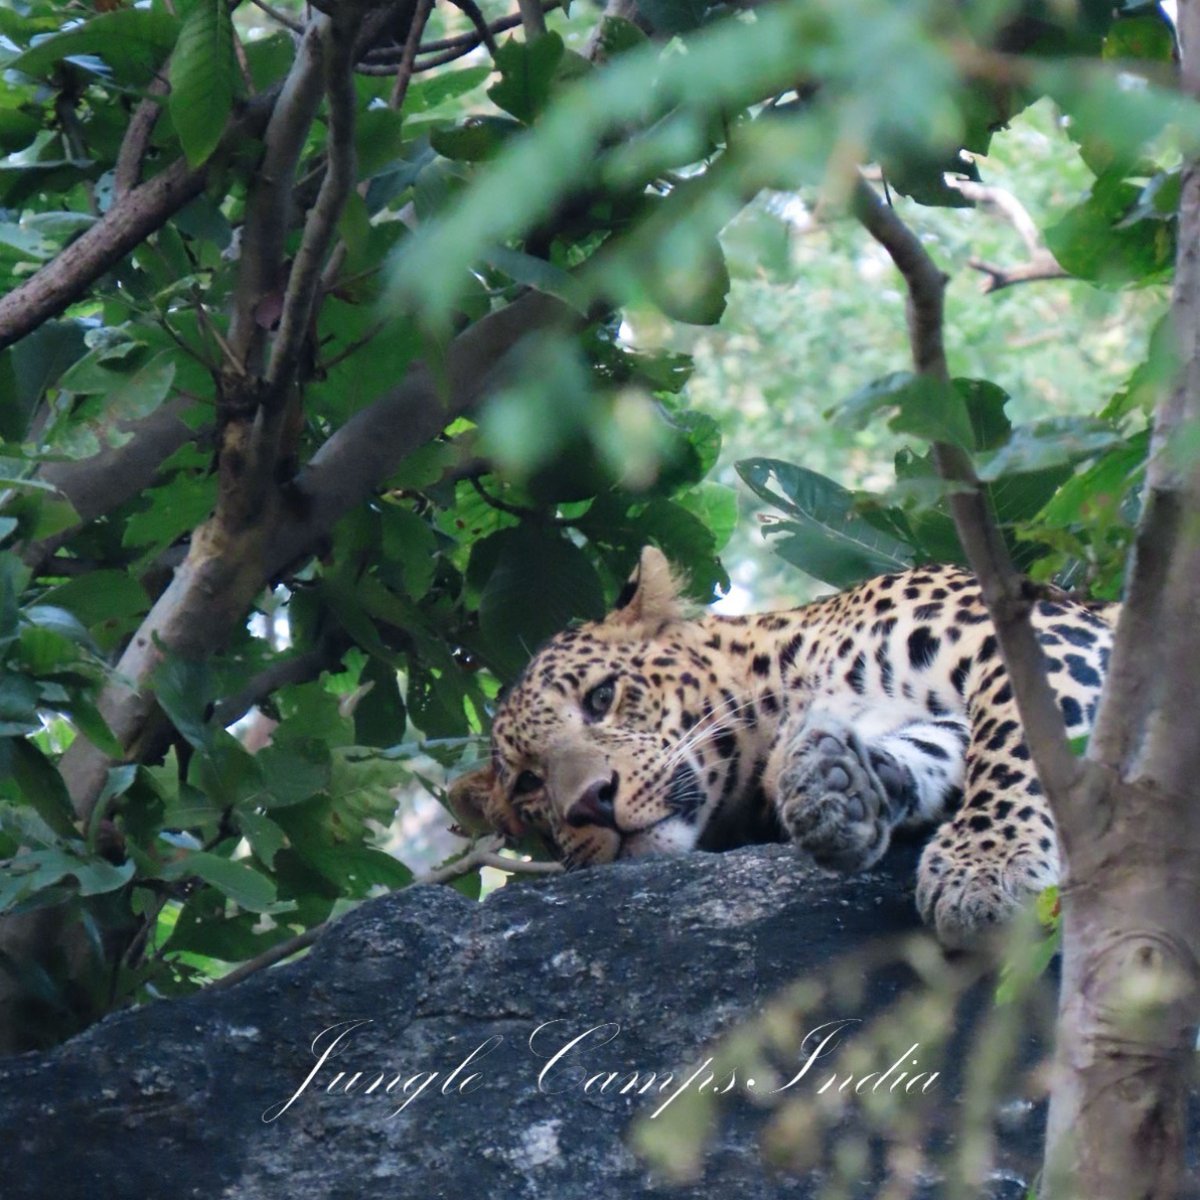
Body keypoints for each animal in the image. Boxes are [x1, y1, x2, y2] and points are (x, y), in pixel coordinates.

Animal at [451, 544, 1113, 945]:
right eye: (528, 783)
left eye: (601, 697)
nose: (591, 802)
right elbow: (936, 744)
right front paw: (836, 788)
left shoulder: (1038, 634)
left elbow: (1015, 744)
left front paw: (987, 866)